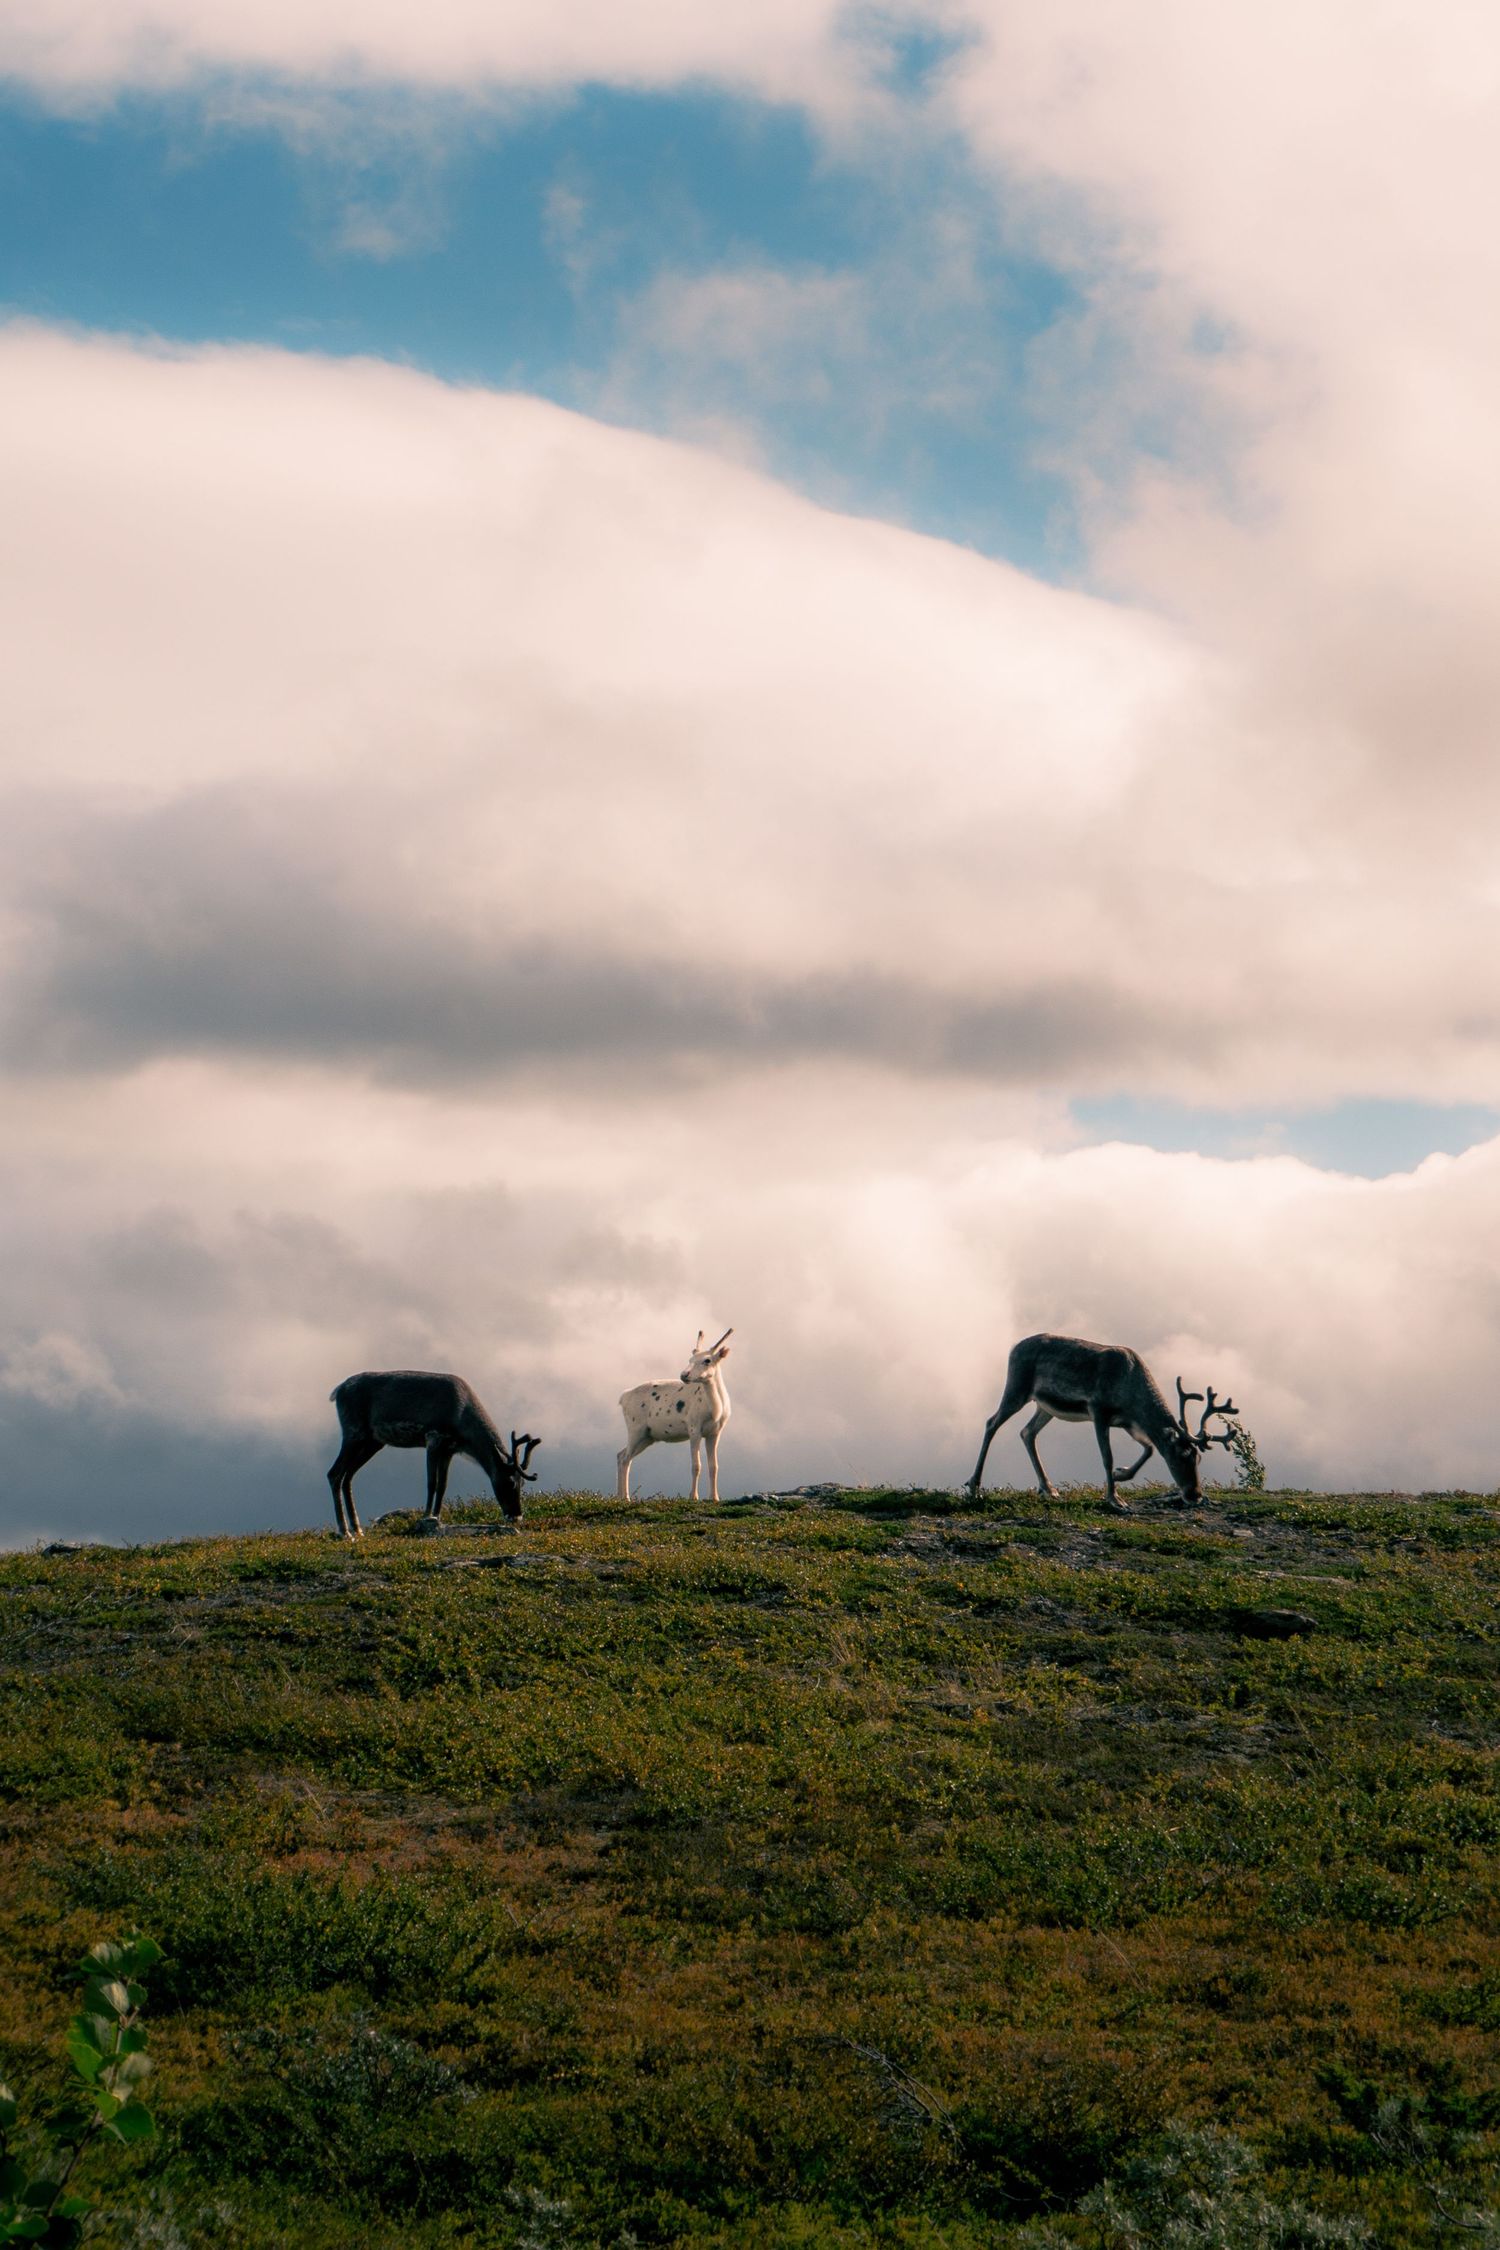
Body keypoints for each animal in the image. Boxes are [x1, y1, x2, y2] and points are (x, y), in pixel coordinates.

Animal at [327, 1369, 541, 1540]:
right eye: (510, 1482)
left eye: (523, 1482)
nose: (516, 1516)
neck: (462, 1423)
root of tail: (337, 1390)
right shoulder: (433, 1437)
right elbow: (432, 1483)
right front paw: (427, 1517)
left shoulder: (449, 1449)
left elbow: (443, 1485)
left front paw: (437, 1518)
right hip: (354, 1432)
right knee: (334, 1473)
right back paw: (345, 1532)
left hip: (373, 1441)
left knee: (348, 1476)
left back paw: (357, 1529)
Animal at [617, 1328, 732, 1502]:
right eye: (690, 1359)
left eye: (707, 1360)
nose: (684, 1374)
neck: (716, 1410)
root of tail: (623, 1397)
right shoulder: (694, 1428)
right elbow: (696, 1465)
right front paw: (693, 1497)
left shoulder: (715, 1432)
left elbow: (714, 1466)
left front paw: (714, 1497)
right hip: (635, 1429)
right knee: (625, 1458)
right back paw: (626, 1498)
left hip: (648, 1437)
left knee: (621, 1454)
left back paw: (618, 1495)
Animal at [964, 1332, 1239, 1512]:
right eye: (1180, 1456)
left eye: (1199, 1458)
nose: (1195, 1495)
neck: (1132, 1391)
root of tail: (1013, 1348)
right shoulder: (1099, 1410)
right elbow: (1107, 1456)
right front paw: (1115, 1499)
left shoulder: (1129, 1422)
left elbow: (1149, 1449)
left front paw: (1121, 1474)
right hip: (1017, 1387)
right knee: (991, 1423)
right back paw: (974, 1486)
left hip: (1045, 1407)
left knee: (1027, 1432)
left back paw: (1048, 1488)